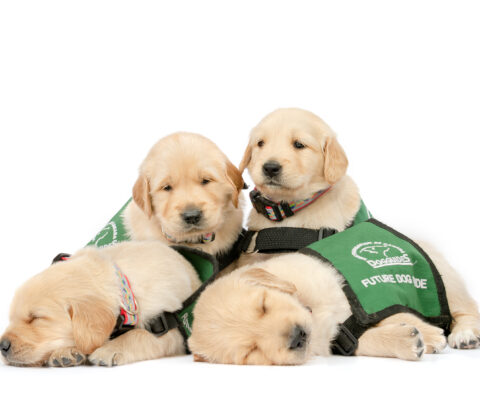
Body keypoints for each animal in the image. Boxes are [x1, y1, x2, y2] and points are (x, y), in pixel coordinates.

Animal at [0, 239, 201, 368]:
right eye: (11, 318)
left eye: (36, 318)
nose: (2, 346)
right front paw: (65, 352)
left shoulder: (171, 332)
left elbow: (139, 335)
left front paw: (109, 349)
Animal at [188, 108, 480, 364]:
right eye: (260, 143)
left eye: (299, 145)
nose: (269, 167)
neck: (291, 214)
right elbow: (362, 338)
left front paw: (428, 334)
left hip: (446, 279)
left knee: (466, 309)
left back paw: (464, 334)